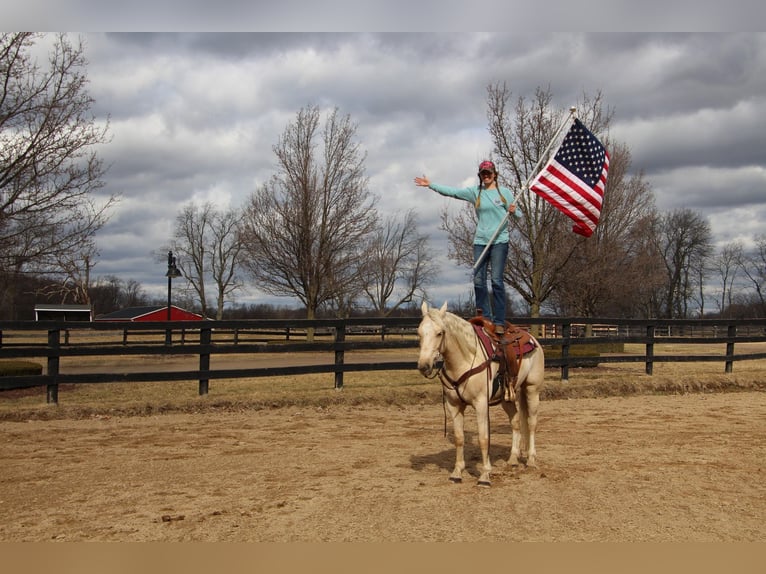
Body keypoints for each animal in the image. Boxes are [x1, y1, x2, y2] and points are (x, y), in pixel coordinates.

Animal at [420, 304, 544, 488]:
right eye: (419, 332)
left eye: (440, 333)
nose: (424, 365)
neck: (466, 358)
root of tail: (532, 339)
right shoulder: (453, 405)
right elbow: (459, 438)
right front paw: (457, 472)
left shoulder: (481, 404)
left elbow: (483, 439)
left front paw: (485, 475)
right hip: (506, 397)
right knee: (515, 421)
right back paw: (513, 459)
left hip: (532, 389)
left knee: (531, 423)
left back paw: (531, 460)